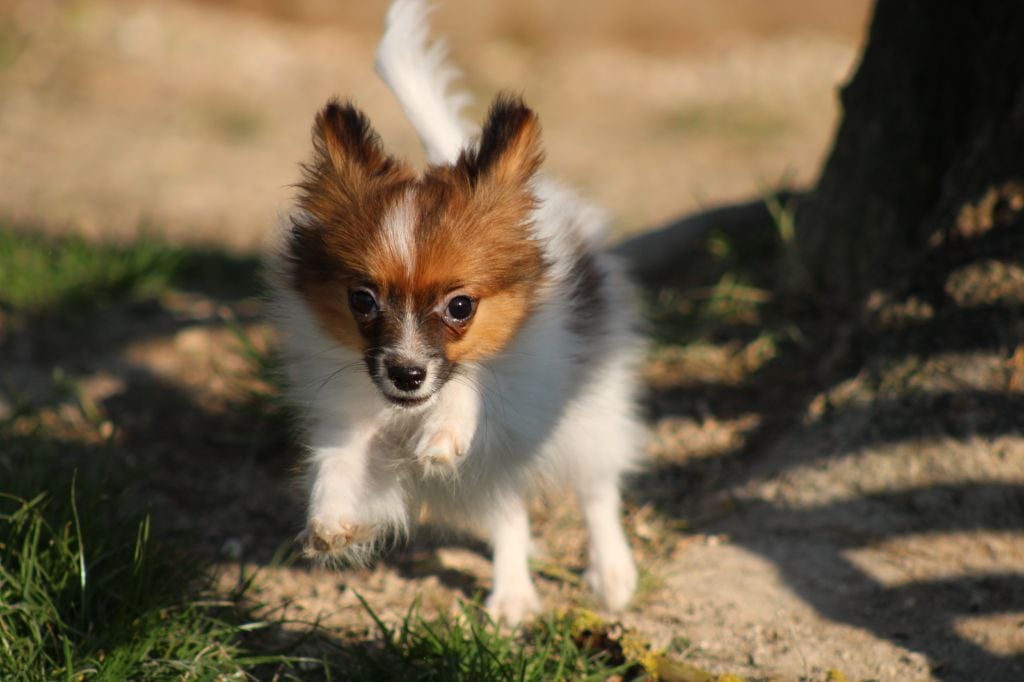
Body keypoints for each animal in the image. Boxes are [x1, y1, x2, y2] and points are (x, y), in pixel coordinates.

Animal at [268, 0, 643, 622]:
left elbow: (474, 388)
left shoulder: (526, 397)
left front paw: (444, 428)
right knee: (508, 512)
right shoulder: (354, 418)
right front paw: (329, 520)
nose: (406, 374)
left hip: (592, 411)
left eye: (460, 306)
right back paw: (513, 595)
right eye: (362, 300)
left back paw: (610, 574)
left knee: (597, 487)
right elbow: (340, 461)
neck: (409, 410)